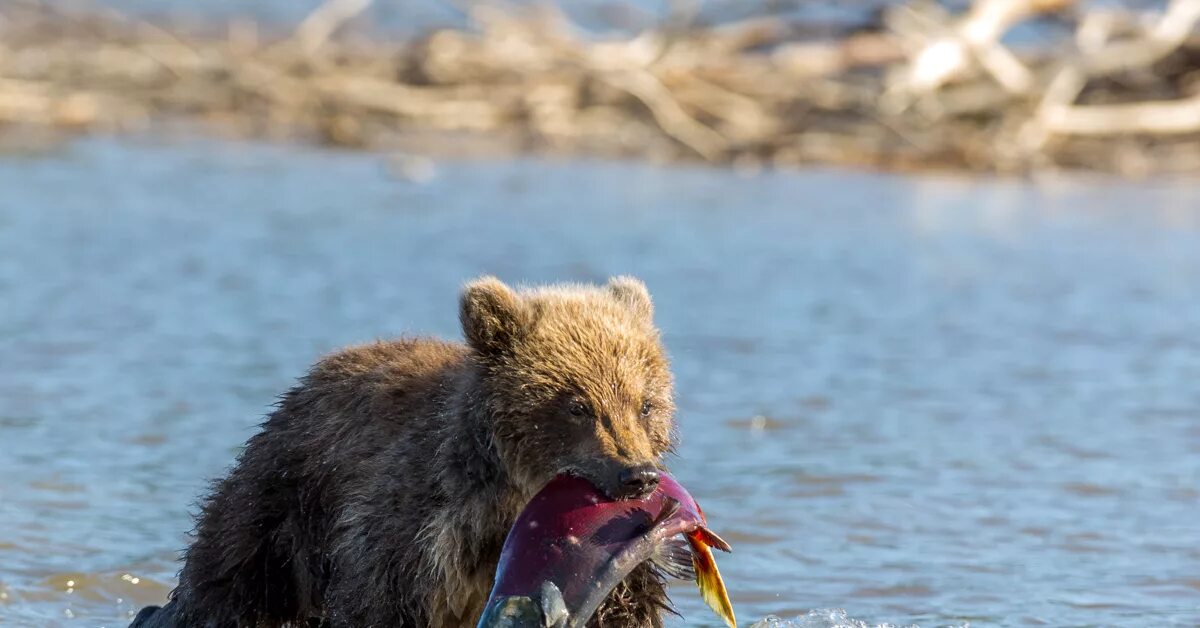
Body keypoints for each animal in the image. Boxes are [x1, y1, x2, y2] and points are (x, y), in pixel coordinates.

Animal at [137, 277, 681, 624]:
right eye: (577, 405)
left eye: (645, 403)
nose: (637, 475)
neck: (508, 506)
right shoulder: (416, 529)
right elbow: (376, 600)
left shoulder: (613, 559)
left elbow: (627, 609)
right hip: (281, 509)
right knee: (226, 585)